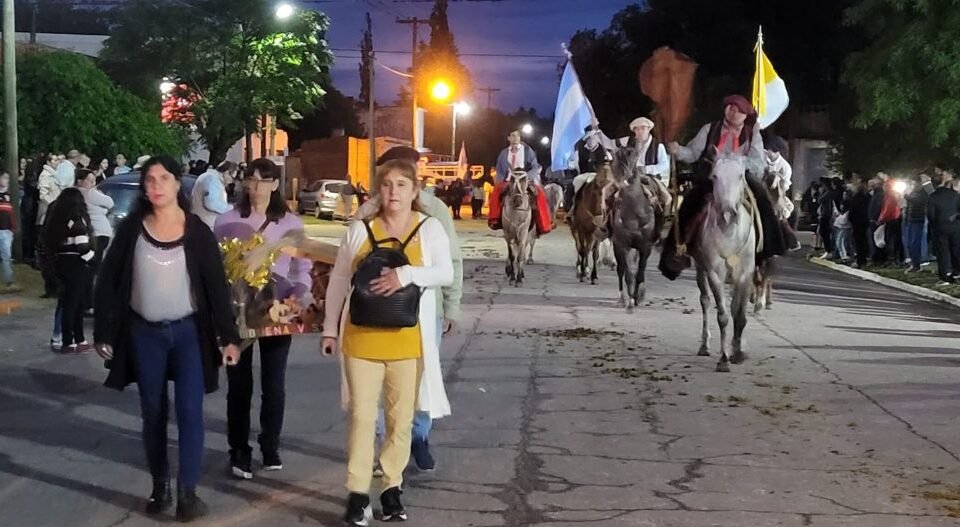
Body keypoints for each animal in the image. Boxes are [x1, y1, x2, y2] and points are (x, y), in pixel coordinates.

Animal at [610, 147, 657, 313]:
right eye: (615, 159)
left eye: (634, 156)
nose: (624, 180)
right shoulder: (623, 245)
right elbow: (628, 273)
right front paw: (630, 301)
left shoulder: (646, 247)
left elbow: (640, 272)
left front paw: (638, 298)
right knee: (621, 270)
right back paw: (622, 299)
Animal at [692, 153, 759, 372]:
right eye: (714, 176)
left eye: (741, 175)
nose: (728, 213)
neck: (730, 235)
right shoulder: (715, 273)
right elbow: (722, 315)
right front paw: (723, 359)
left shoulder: (745, 274)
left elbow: (739, 315)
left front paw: (738, 352)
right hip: (700, 269)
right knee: (705, 300)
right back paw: (704, 345)